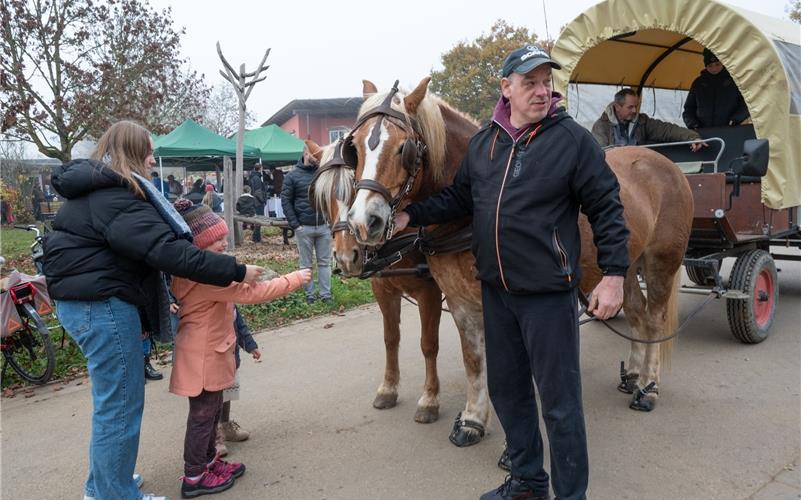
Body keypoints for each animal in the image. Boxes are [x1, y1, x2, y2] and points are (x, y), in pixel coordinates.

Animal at [304, 139, 446, 424]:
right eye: (322, 197)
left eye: (354, 185)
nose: (346, 257)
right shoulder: (383, 289)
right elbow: (390, 338)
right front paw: (388, 389)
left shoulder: (430, 292)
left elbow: (429, 344)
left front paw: (429, 399)